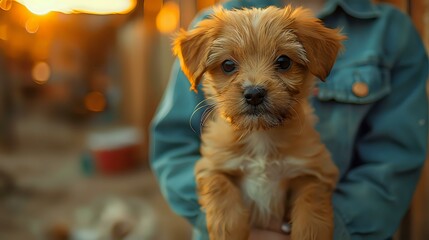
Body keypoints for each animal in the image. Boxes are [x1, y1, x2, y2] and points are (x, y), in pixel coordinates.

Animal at [172, 5, 342, 240]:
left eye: (284, 62)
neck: (261, 135)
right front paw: (230, 230)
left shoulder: (315, 170)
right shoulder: (211, 165)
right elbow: (219, 187)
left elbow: (312, 202)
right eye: (228, 65)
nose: (254, 94)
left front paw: (310, 232)